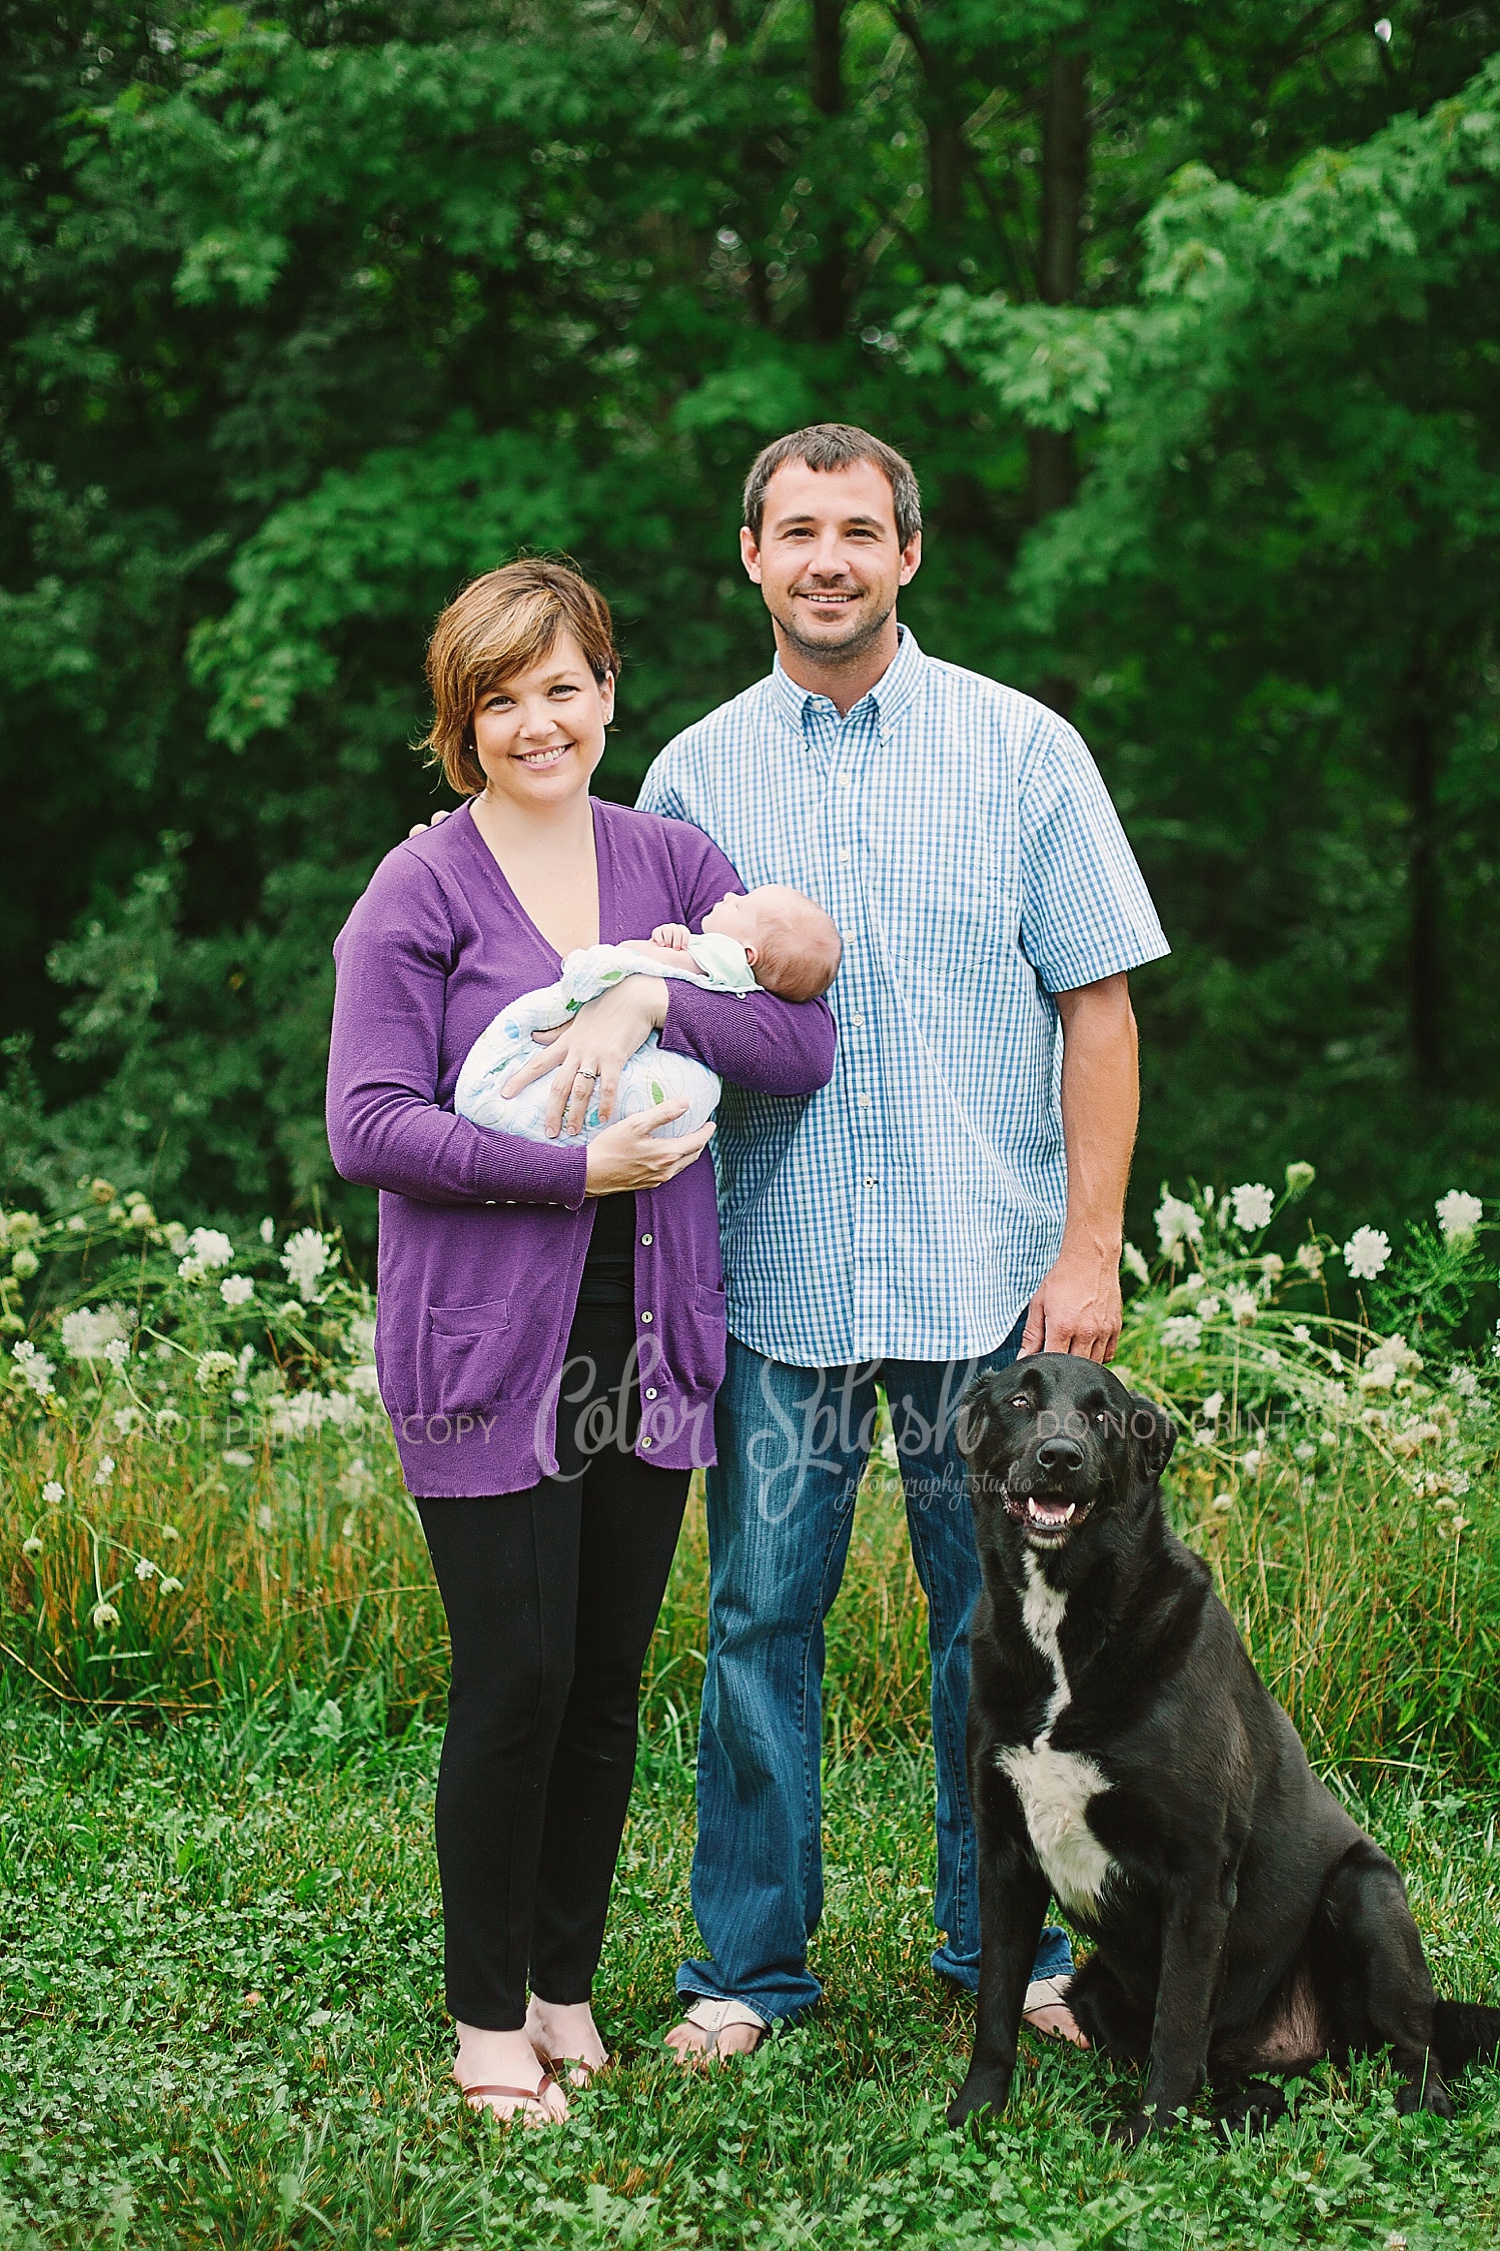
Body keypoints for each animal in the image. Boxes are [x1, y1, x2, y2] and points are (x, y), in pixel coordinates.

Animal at [945, 1341, 1495, 2133]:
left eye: (1103, 1415)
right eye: (1020, 1401)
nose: (1059, 1457)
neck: (1066, 1634)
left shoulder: (1198, 1873)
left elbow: (1176, 2029)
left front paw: (1146, 2136)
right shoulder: (1004, 1859)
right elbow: (994, 2009)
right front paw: (975, 2111)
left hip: (1367, 1892)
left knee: (1413, 2043)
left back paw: (1416, 2098)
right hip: (1094, 1989)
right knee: (1237, 2077)